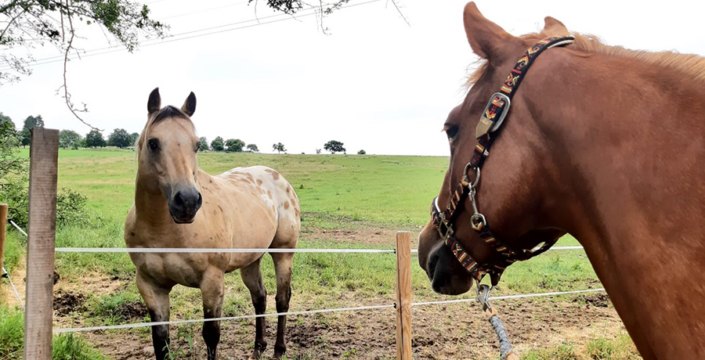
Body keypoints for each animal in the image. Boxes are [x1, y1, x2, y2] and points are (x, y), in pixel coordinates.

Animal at [124, 88, 300, 360]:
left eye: (197, 144)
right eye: (153, 143)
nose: (187, 201)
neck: (165, 231)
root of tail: (279, 178)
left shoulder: (212, 281)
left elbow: (211, 335)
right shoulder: (150, 285)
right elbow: (161, 341)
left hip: (283, 253)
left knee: (282, 300)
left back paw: (278, 350)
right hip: (251, 259)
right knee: (259, 297)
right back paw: (258, 347)